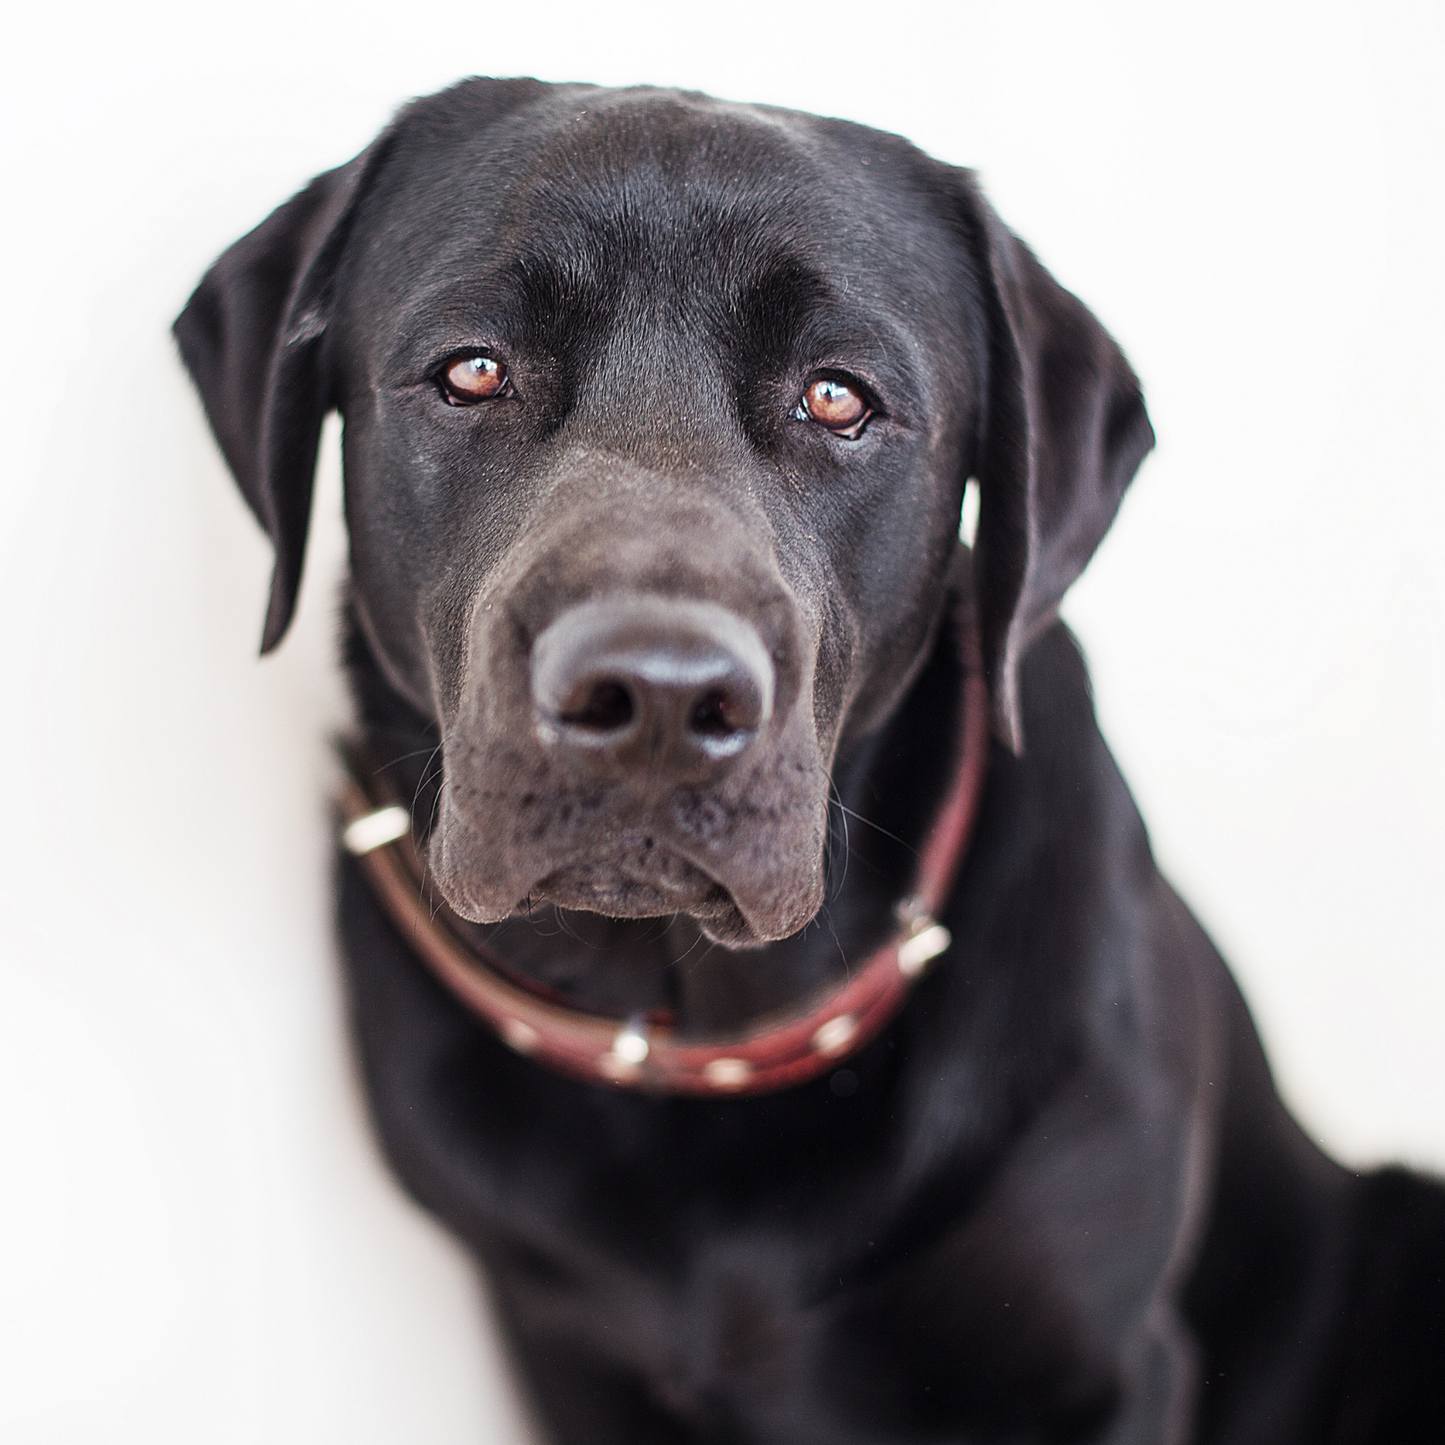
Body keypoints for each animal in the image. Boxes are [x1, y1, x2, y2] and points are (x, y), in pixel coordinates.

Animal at [180, 79, 1445, 1445]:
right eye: (472, 370)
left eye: (837, 398)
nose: (656, 696)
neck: (706, 1035)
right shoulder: (567, 1351)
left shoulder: (1106, 1365)